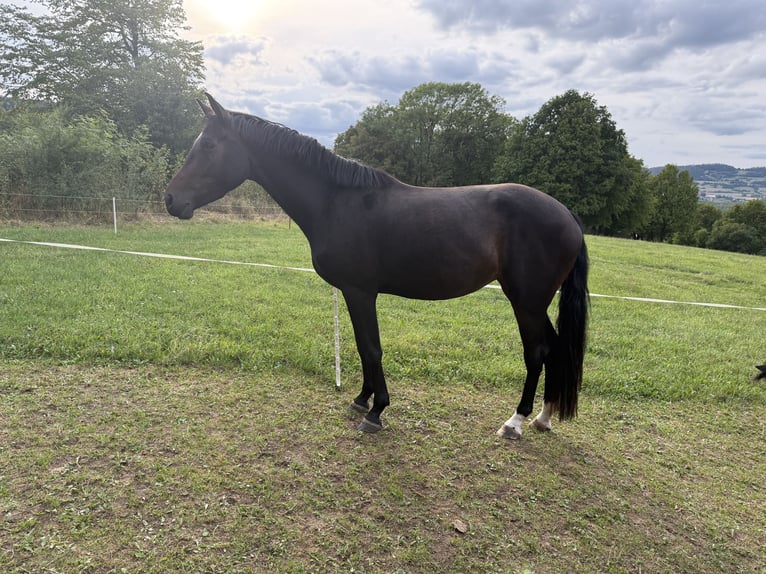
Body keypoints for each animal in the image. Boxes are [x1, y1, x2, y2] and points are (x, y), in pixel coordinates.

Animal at [165, 93, 590, 439]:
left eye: (210, 145)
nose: (171, 200)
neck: (337, 201)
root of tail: (568, 216)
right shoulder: (354, 294)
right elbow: (360, 345)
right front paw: (361, 399)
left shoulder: (360, 292)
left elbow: (371, 348)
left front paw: (376, 411)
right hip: (535, 302)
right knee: (554, 348)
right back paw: (544, 418)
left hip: (526, 300)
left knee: (536, 351)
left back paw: (515, 422)